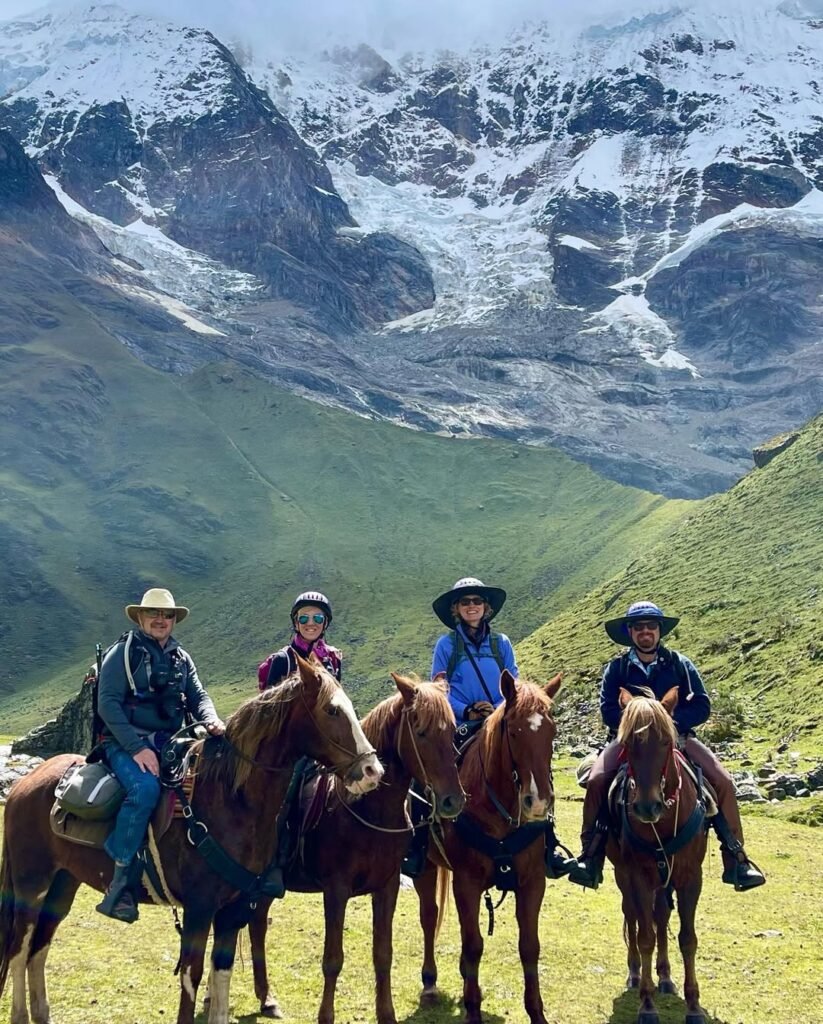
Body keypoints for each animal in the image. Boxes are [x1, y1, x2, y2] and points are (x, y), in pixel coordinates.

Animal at [0, 655, 384, 1024]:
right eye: (331, 710)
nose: (372, 772)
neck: (229, 798)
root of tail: (23, 785)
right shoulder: (200, 908)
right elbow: (193, 976)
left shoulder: (233, 910)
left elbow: (221, 974)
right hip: (31, 886)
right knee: (19, 948)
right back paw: (20, 1015)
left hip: (63, 885)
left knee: (39, 948)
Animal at [241, 675, 466, 1024]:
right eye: (420, 731)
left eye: (453, 730)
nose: (452, 800)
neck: (367, 808)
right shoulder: (336, 890)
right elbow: (333, 959)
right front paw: (325, 1016)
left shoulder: (387, 887)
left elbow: (383, 953)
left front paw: (386, 1014)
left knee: (257, 925)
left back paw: (267, 999)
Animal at [415, 667, 560, 1024]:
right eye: (514, 732)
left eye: (551, 731)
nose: (538, 802)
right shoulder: (466, 882)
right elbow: (473, 945)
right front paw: (472, 1009)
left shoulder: (532, 881)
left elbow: (529, 946)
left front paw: (536, 1012)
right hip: (426, 866)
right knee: (429, 916)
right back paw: (430, 983)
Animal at [605, 688, 712, 1024]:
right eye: (627, 743)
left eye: (666, 740)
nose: (646, 807)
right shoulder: (638, 876)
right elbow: (645, 937)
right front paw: (647, 1005)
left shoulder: (691, 877)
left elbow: (687, 938)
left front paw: (693, 1007)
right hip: (624, 875)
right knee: (633, 916)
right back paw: (636, 974)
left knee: (661, 915)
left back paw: (664, 977)